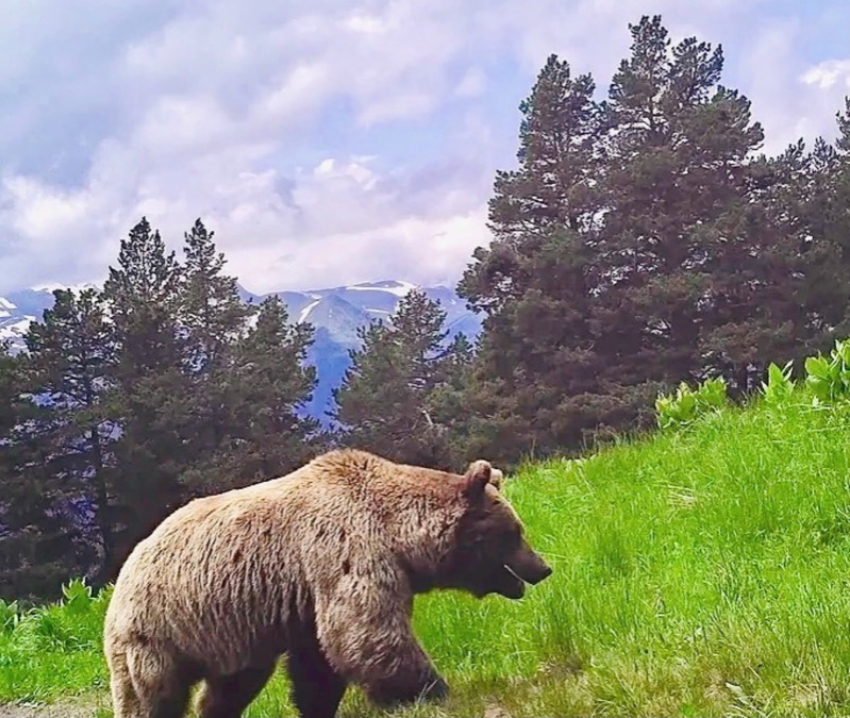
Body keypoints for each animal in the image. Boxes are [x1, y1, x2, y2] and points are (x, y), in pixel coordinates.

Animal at [102, 450, 548, 718]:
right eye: (514, 532)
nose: (542, 568)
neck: (398, 536)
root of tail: (122, 571)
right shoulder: (346, 552)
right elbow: (368, 633)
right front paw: (428, 691)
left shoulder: (306, 601)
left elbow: (319, 661)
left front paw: (318, 704)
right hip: (156, 630)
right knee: (153, 695)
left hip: (231, 634)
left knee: (232, 684)